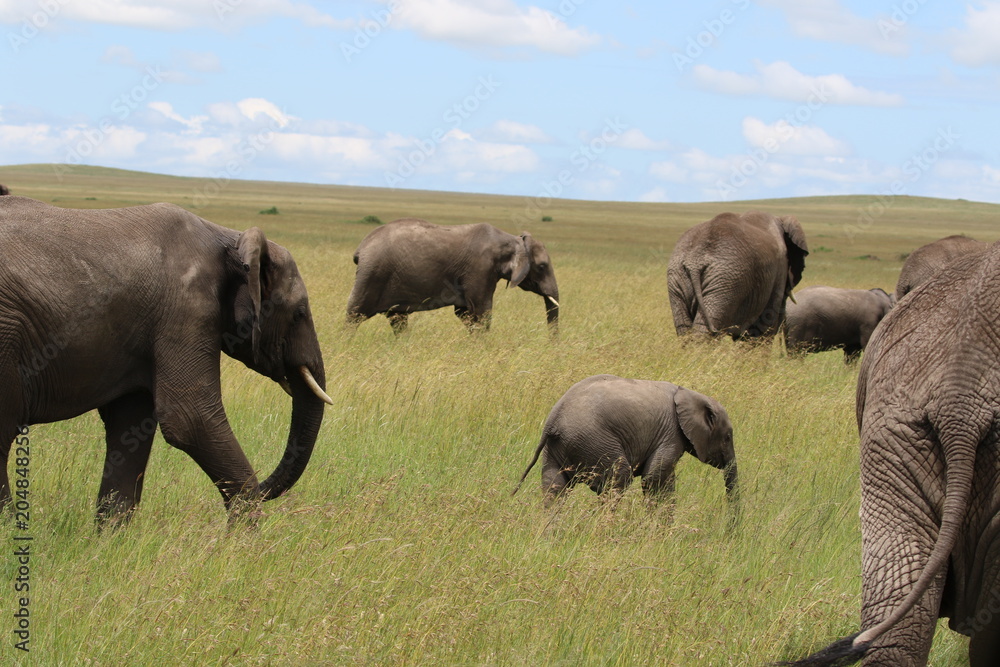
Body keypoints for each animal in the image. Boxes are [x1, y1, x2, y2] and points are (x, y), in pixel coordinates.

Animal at [0, 197, 334, 528]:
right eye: (299, 314)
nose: (265, 489)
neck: (230, 241)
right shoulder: (186, 308)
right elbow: (190, 418)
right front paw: (244, 538)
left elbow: (130, 425)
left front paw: (111, 537)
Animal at [348, 218, 560, 334]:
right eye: (542, 267)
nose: (552, 345)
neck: (511, 239)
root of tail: (361, 248)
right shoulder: (480, 269)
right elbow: (481, 311)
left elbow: (464, 313)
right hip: (372, 274)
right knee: (354, 314)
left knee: (397, 319)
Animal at [516, 376, 736, 506]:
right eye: (727, 437)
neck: (692, 394)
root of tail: (553, 420)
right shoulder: (671, 434)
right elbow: (654, 479)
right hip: (595, 442)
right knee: (618, 480)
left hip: (557, 449)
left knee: (554, 489)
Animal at [668, 211, 808, 342]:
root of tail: (694, 262)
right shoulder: (779, 270)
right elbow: (766, 321)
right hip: (727, 281)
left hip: (679, 277)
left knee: (684, 328)